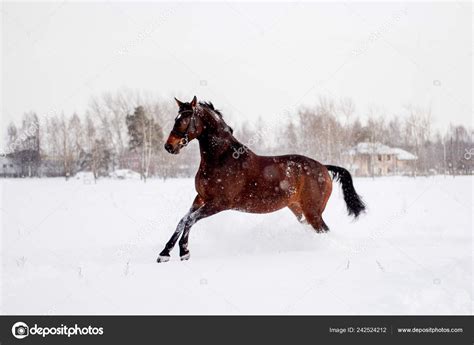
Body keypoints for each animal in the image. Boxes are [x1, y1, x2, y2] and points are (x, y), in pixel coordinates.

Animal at [157, 95, 364, 262]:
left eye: (184, 120)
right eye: (176, 118)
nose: (169, 146)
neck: (222, 159)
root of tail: (323, 167)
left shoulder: (219, 203)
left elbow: (189, 220)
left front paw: (182, 252)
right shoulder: (200, 198)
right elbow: (183, 220)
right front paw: (166, 253)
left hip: (312, 212)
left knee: (324, 231)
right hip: (299, 210)